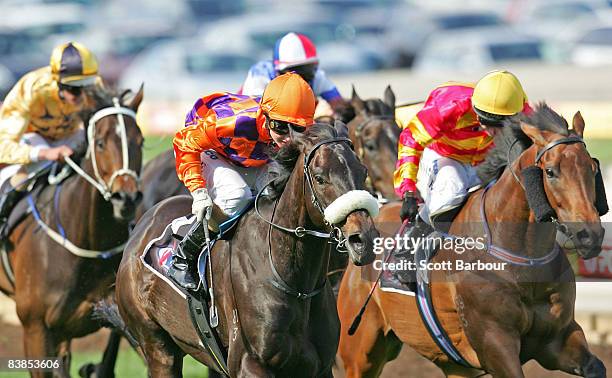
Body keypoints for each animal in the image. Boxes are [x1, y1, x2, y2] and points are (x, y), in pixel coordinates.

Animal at [114, 122, 380, 376]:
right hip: (157, 346)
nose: (363, 240)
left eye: (363, 172)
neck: (295, 284)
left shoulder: (319, 368)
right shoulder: (249, 363)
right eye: (320, 177)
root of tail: (141, 227)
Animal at [334, 105, 608, 378]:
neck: (522, 255)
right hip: (360, 351)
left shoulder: (557, 338)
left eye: (592, 168)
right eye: (550, 172)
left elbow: (595, 366)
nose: (589, 234)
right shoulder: (494, 343)